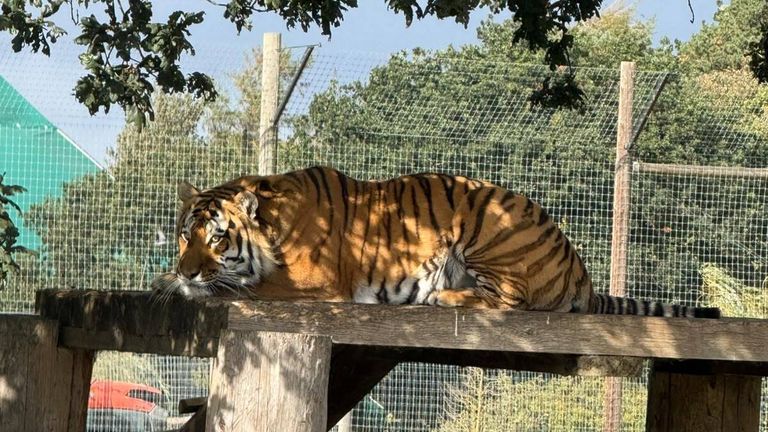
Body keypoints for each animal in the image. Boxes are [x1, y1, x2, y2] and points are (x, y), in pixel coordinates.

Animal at [151, 166, 720, 318]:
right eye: (183, 237)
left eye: (217, 238)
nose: (187, 270)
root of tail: (581, 271)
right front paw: (164, 280)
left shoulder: (313, 285)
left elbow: (245, 288)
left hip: (488, 228)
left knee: (512, 301)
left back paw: (443, 295)